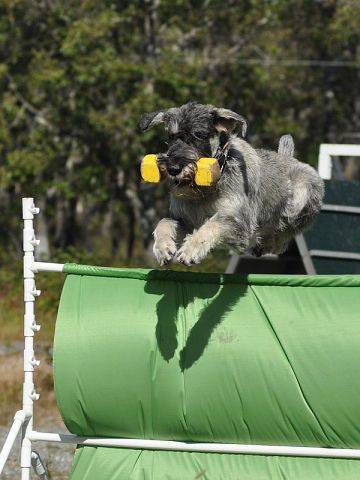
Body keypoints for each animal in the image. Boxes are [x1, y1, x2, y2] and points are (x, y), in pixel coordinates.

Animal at [137, 102, 324, 266]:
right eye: (171, 136)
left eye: (198, 135)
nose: (173, 168)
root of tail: (289, 158)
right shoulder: (186, 221)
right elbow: (164, 222)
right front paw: (163, 248)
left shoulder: (238, 223)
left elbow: (213, 225)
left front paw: (191, 250)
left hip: (300, 199)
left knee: (284, 234)